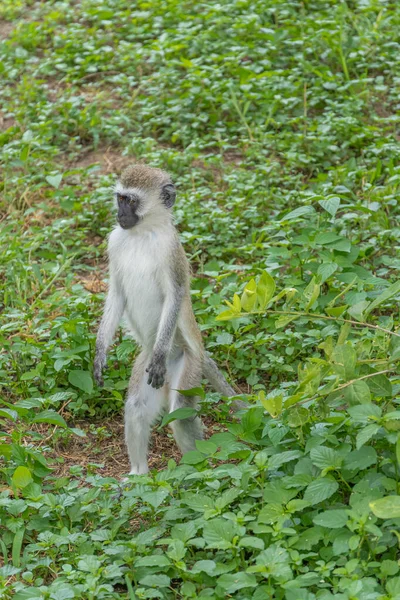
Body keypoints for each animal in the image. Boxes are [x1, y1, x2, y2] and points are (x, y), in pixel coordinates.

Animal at [94, 163, 238, 474]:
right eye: (120, 198)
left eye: (131, 201)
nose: (120, 215)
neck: (142, 233)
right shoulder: (114, 241)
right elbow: (117, 294)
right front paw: (100, 354)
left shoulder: (171, 251)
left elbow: (175, 295)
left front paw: (159, 352)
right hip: (144, 366)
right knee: (136, 406)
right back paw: (139, 474)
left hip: (188, 363)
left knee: (180, 410)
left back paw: (198, 471)